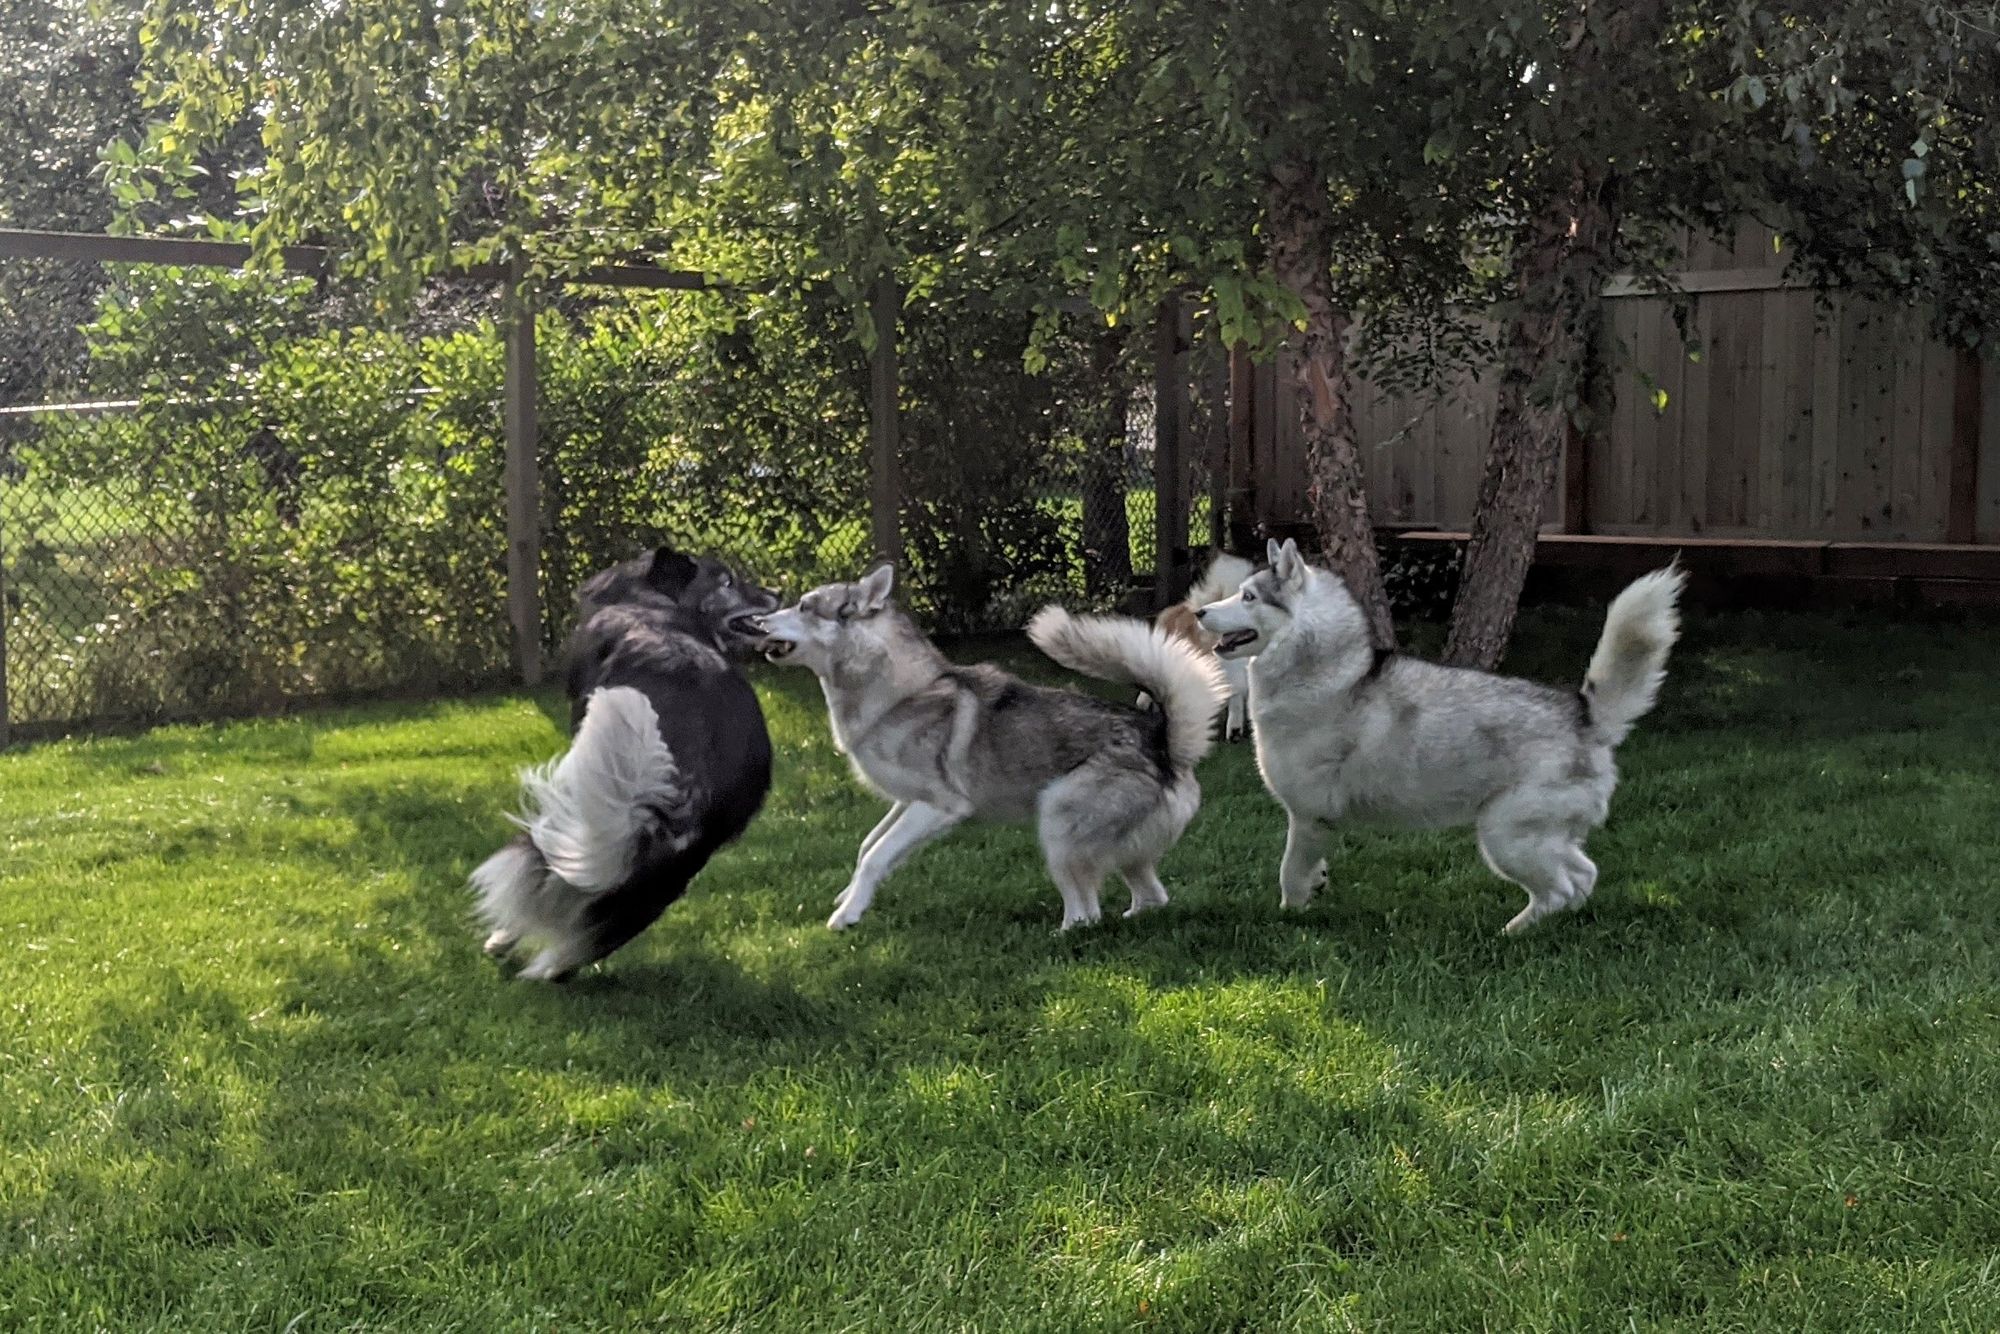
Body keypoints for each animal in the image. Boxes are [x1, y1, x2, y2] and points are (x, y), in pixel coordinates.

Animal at [472, 544, 776, 980]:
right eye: (727, 581)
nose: (776, 593)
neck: (651, 601)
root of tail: (689, 796)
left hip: (581, 808)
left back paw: (501, 939)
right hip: (657, 882)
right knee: (576, 948)